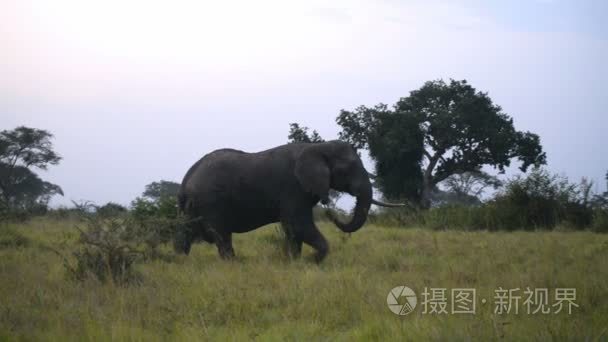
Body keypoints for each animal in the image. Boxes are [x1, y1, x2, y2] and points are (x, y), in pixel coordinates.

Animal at [175, 140, 404, 264]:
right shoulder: (293, 188)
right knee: (221, 236)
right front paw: (313, 261)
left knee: (187, 232)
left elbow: (294, 231)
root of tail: (186, 180)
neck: (318, 147)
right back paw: (233, 265)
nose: (330, 212)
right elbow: (298, 225)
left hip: (194, 207)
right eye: (347, 169)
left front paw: (296, 263)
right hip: (211, 202)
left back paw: (179, 261)